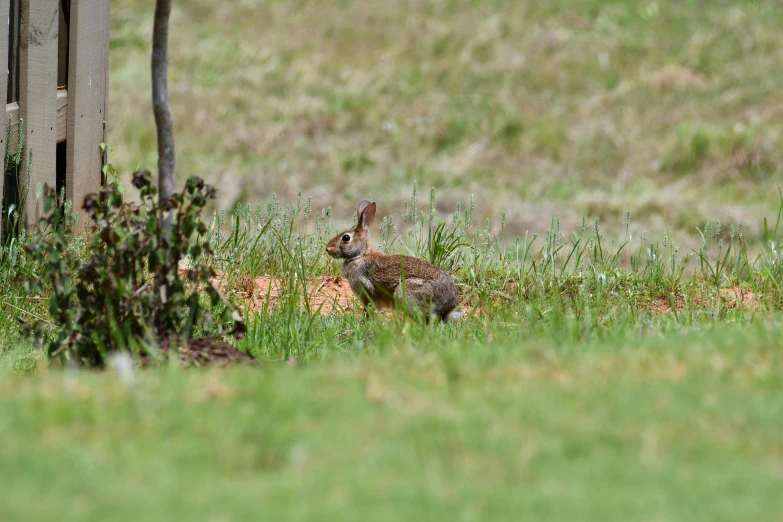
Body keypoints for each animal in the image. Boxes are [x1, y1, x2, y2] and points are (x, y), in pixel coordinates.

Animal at [328, 200, 462, 318]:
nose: (327, 249)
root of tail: (449, 303)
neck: (360, 255)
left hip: (407, 292)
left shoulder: (366, 289)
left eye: (346, 238)